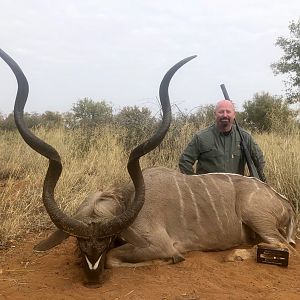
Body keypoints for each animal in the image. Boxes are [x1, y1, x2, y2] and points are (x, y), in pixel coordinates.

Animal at [0, 50, 298, 288]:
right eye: (79, 243)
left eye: (106, 240)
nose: (93, 281)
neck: (128, 199)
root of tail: (282, 202)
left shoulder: (156, 243)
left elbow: (115, 259)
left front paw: (173, 259)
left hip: (256, 216)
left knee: (283, 246)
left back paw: (236, 254)